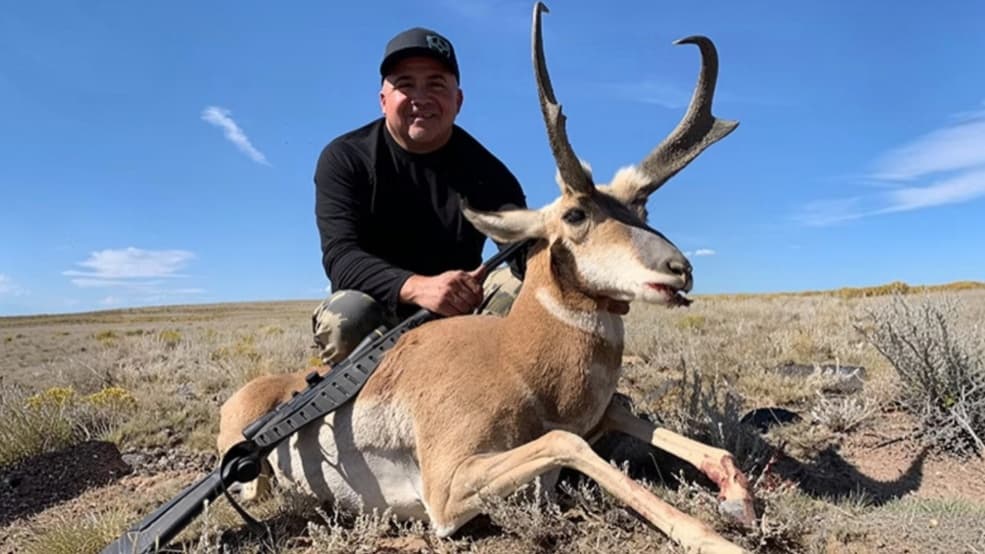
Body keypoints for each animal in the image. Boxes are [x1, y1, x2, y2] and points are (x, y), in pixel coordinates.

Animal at [217, 3, 751, 552]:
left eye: (642, 209)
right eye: (576, 214)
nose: (680, 268)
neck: (515, 356)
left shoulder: (599, 415)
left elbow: (672, 436)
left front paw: (738, 497)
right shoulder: (449, 489)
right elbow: (568, 440)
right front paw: (716, 538)